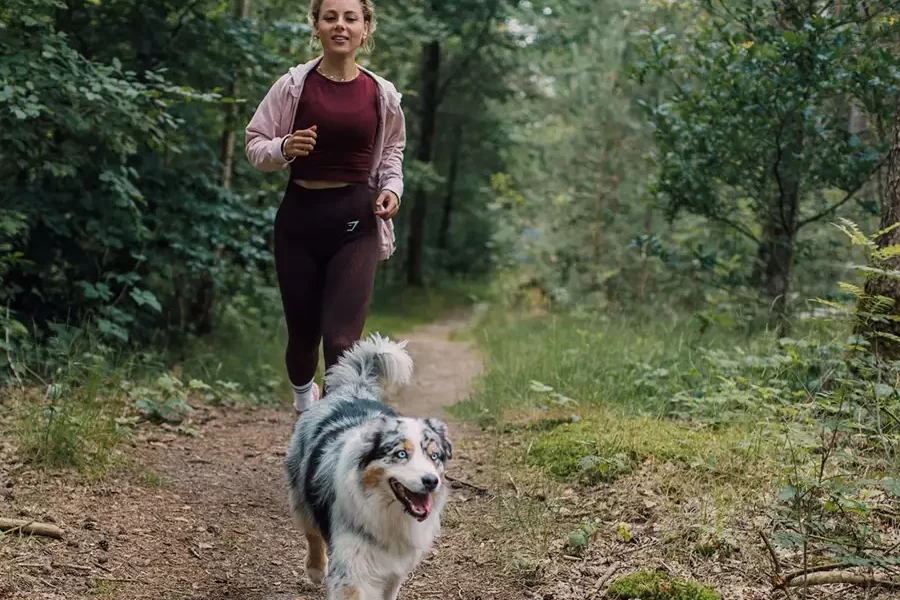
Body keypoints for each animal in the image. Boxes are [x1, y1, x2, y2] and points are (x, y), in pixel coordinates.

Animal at [284, 332, 454, 600]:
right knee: (311, 531)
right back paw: (315, 569)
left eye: (434, 456)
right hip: (300, 493)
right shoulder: (353, 566)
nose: (431, 481)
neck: (388, 513)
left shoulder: (395, 569)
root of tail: (354, 386)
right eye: (401, 454)